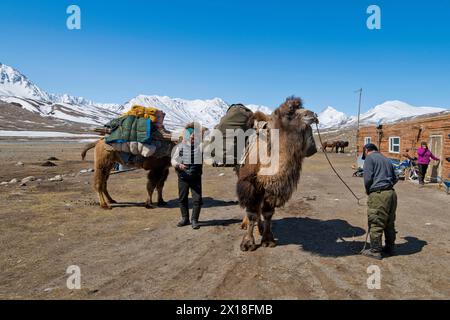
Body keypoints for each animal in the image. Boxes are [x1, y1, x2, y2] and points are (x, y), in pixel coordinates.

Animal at [237, 96, 318, 251]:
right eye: (289, 113)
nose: (314, 115)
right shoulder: (250, 185)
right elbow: (251, 213)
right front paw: (248, 243)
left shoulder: (271, 189)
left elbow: (268, 213)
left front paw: (268, 240)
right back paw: (245, 224)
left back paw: (260, 228)